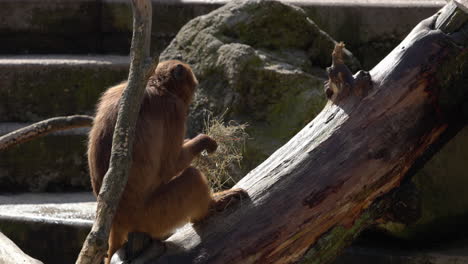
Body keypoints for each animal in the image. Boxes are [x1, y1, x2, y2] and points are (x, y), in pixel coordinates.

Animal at [89, 60, 247, 264]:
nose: (190, 103)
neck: (154, 83)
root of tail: (116, 222)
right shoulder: (174, 109)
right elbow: (170, 165)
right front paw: (204, 141)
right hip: (150, 217)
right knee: (193, 177)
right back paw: (211, 206)